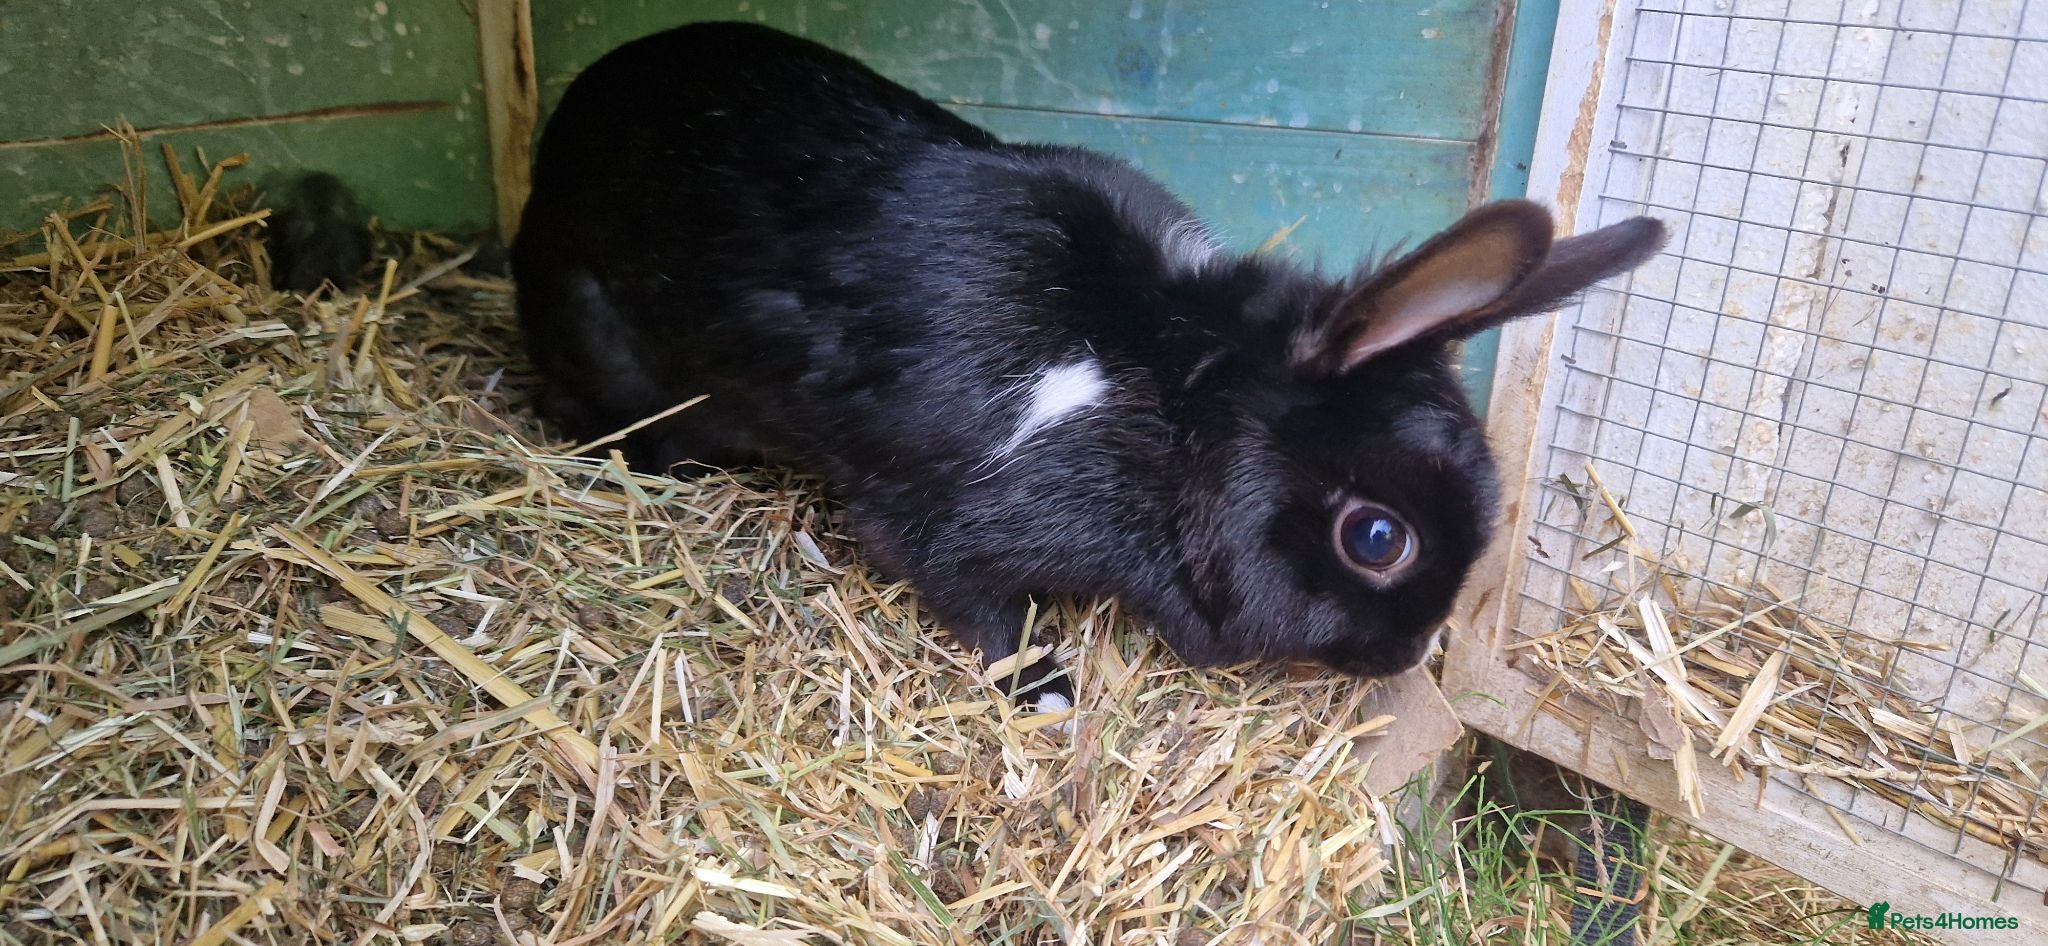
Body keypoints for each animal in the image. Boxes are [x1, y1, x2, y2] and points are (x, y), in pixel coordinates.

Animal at [512, 22, 1666, 710]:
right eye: (1377, 539)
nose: (1406, 656)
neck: (1169, 397)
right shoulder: (938, 526)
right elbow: (979, 605)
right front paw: (1050, 692)